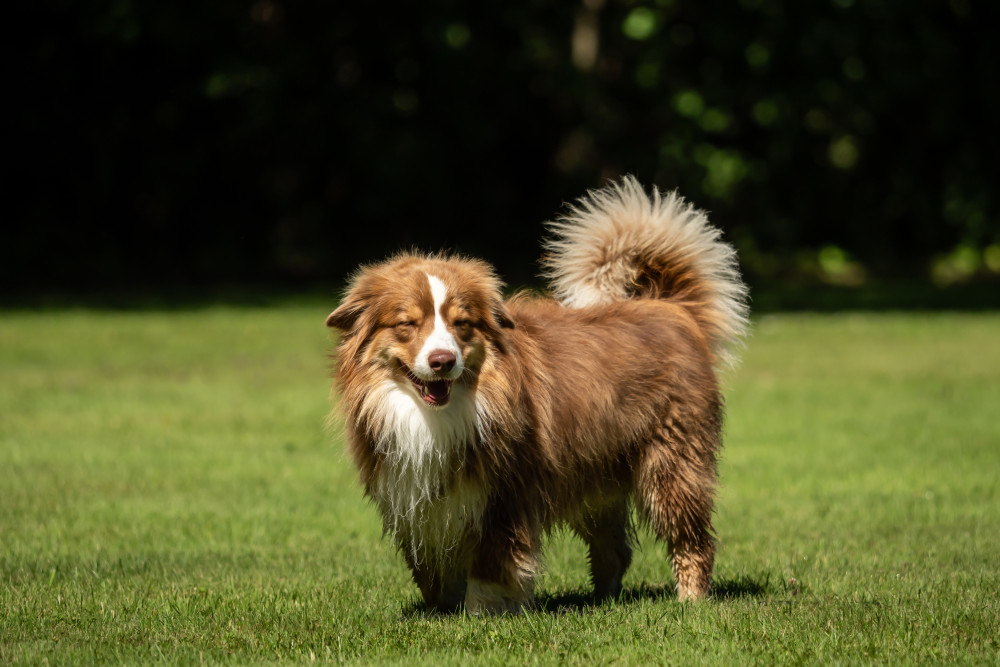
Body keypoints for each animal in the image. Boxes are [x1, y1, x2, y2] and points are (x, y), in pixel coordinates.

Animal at [324, 177, 748, 616]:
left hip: (671, 464)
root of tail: (670, 309)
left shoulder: (504, 496)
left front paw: (481, 615)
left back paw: (691, 600)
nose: (443, 361)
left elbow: (491, 566)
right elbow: (432, 571)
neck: (438, 413)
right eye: (407, 323)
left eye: (462, 324)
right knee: (614, 549)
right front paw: (443, 610)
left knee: (692, 539)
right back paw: (602, 602)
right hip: (595, 474)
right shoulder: (417, 502)